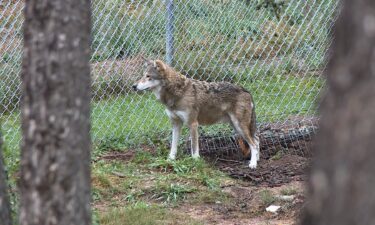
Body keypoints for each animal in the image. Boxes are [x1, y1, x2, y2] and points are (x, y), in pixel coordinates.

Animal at [133, 59, 262, 168]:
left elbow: (194, 149)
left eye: (148, 76)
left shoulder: (193, 124)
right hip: (236, 127)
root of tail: (246, 90)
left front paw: (195, 162)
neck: (178, 92)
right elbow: (173, 146)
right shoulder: (176, 124)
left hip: (240, 127)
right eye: (143, 75)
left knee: (254, 143)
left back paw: (253, 164)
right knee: (257, 139)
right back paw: (257, 160)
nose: (133, 86)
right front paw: (170, 160)